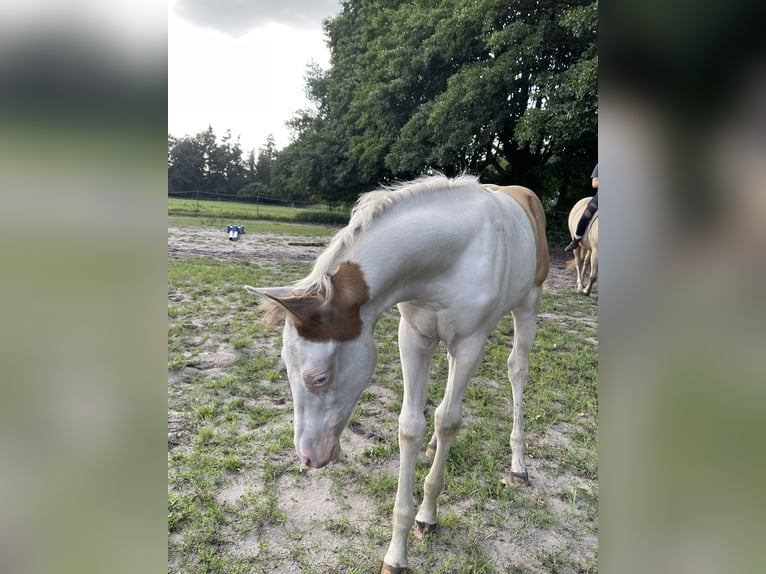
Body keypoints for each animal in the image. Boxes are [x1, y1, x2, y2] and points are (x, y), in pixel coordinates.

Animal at [244, 173, 544, 572]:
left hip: (527, 305)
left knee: (516, 370)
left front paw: (427, 517)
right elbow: (411, 426)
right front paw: (397, 550)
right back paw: (435, 448)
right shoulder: (414, 336)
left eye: (319, 377)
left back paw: (518, 464)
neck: (451, 254)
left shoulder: (470, 343)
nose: (308, 457)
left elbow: (448, 419)